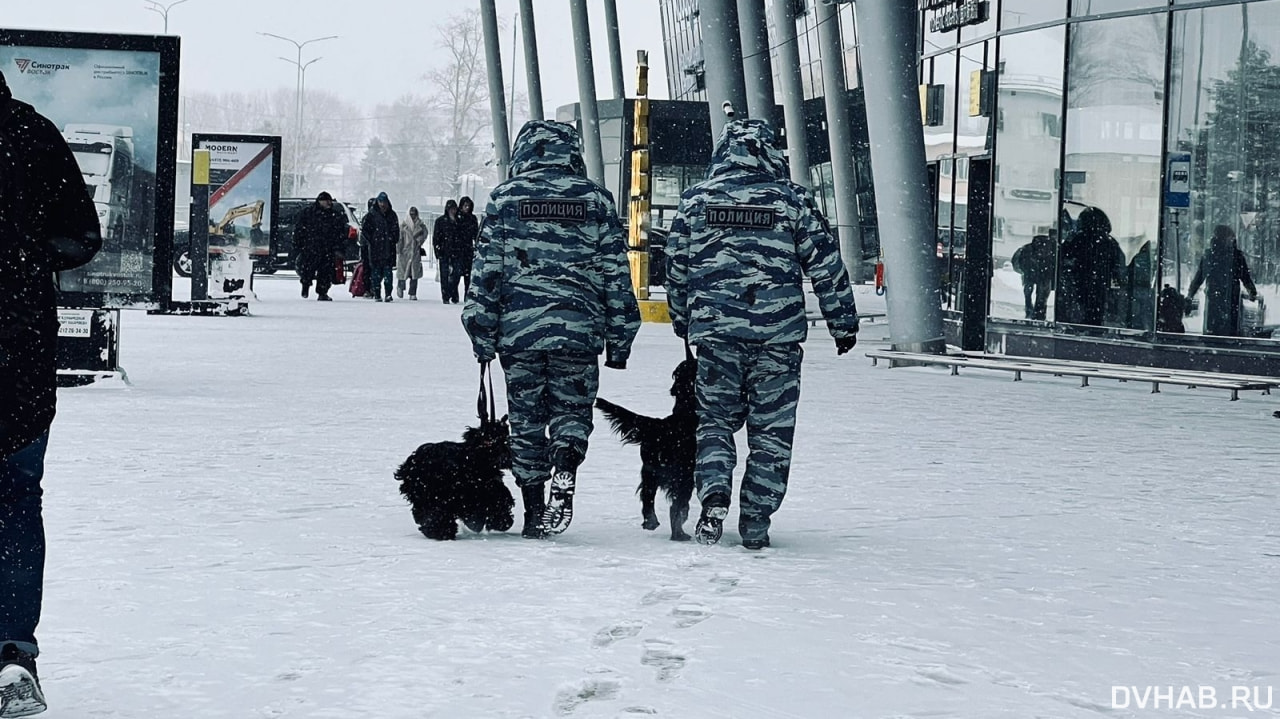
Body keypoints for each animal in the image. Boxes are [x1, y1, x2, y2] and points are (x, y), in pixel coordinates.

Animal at [599, 355, 701, 537]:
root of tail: (658, 426)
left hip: (650, 470)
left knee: (647, 495)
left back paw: (651, 522)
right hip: (683, 475)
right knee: (676, 507)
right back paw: (679, 534)